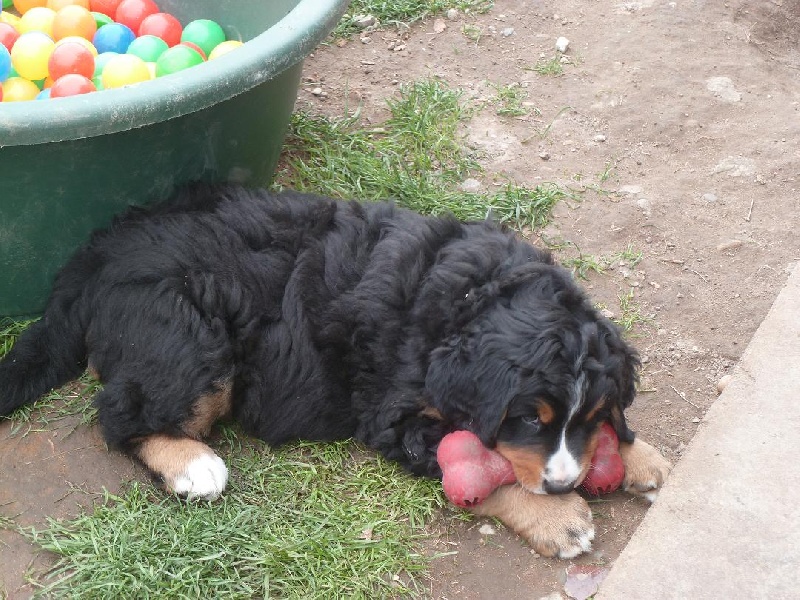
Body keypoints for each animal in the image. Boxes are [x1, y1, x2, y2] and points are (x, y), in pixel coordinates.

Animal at [0, 185, 672, 560]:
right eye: (529, 420)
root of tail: (96, 255)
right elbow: (484, 468)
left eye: (584, 419)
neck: (470, 300)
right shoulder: (398, 416)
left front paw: (641, 457)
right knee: (122, 414)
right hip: (190, 334)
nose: (562, 485)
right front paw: (559, 520)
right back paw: (194, 465)